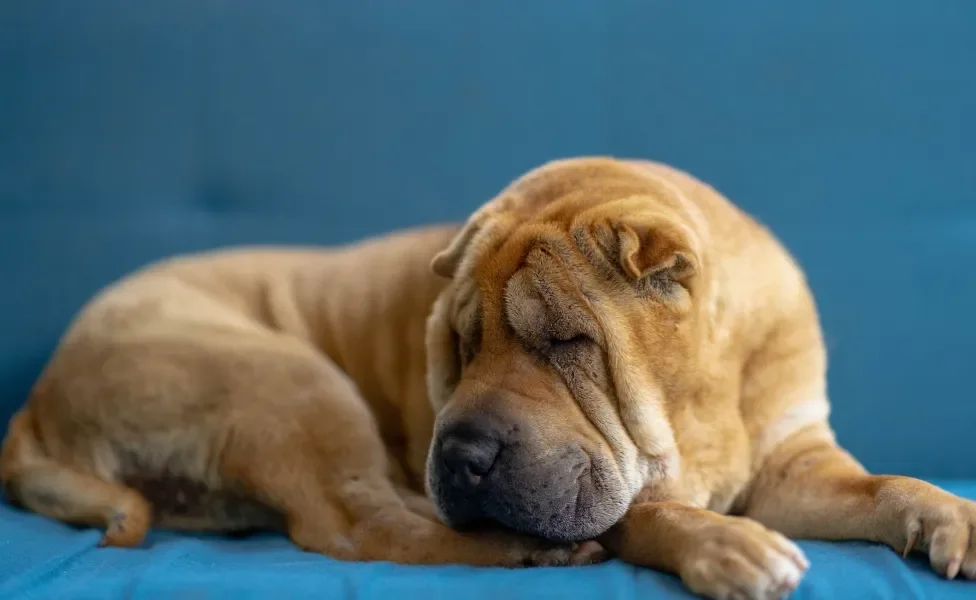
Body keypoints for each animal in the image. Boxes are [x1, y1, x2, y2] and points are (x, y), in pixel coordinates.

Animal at [1, 157, 976, 596]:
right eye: (459, 347)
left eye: (566, 342)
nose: (462, 455)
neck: (697, 403)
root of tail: (37, 401)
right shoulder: (627, 487)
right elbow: (650, 511)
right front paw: (728, 545)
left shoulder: (795, 460)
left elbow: (888, 484)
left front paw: (953, 516)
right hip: (291, 379)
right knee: (364, 525)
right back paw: (524, 549)